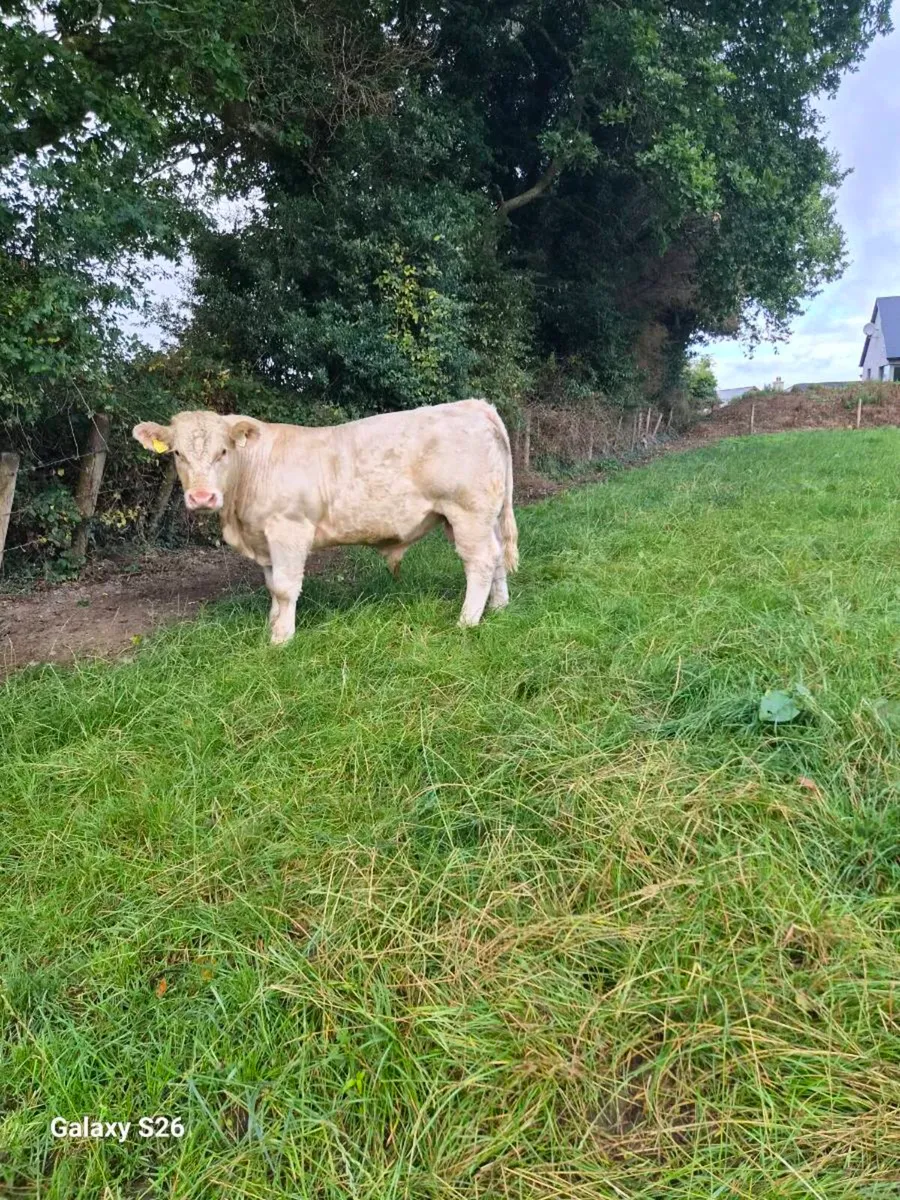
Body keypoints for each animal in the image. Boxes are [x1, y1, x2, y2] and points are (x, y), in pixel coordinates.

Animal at [133, 400, 519, 644]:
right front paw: (272, 624)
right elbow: (272, 586)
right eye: (178, 453)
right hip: (482, 515)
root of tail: (475, 404)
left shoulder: (288, 529)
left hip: (467, 511)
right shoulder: (264, 538)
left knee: (480, 562)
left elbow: (286, 587)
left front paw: (281, 638)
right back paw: (499, 608)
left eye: (223, 451)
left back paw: (467, 621)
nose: (202, 498)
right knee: (497, 555)